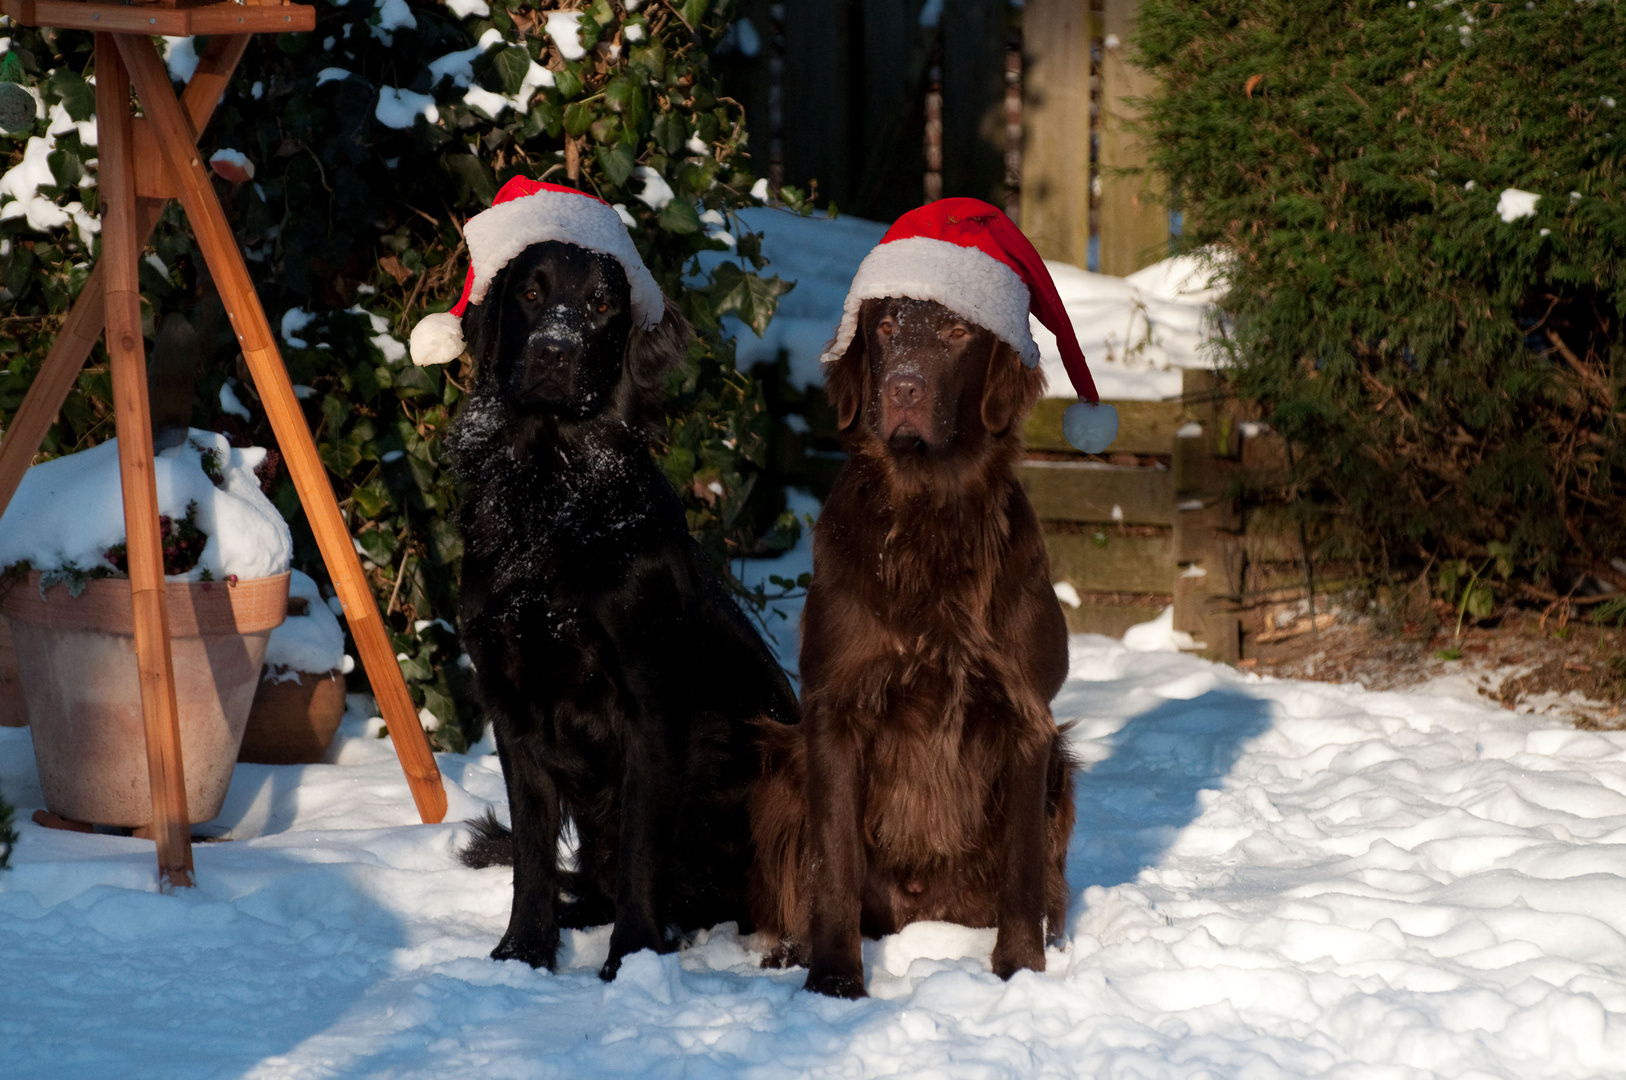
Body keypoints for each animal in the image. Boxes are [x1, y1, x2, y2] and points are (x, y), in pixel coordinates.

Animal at [448, 242, 803, 975]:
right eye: (530, 292)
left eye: (602, 304)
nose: (554, 352)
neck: (551, 492)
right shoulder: (511, 706)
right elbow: (530, 854)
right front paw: (523, 951)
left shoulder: (648, 702)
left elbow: (643, 848)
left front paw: (633, 963)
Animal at [751, 292, 1079, 995]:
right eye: (885, 326)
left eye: (957, 331)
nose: (903, 387)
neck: (930, 512)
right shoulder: (835, 708)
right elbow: (835, 865)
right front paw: (835, 980)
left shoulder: (1028, 718)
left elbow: (1023, 871)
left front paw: (1020, 968)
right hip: (785, 765)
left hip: (1062, 771)